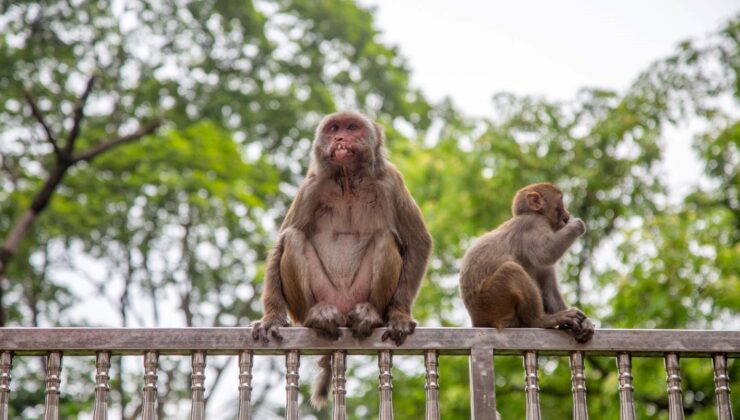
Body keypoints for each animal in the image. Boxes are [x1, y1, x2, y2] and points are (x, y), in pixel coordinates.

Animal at [253, 110, 434, 406]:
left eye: (351, 127)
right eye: (334, 128)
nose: (339, 139)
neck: (348, 180)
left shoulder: (391, 181)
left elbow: (418, 241)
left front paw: (399, 315)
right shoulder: (312, 186)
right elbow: (282, 241)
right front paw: (271, 319)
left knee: (384, 238)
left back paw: (369, 315)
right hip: (316, 301)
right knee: (293, 238)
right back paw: (318, 316)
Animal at [456, 182, 596, 342]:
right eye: (561, 202)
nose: (568, 214)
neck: (531, 214)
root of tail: (477, 320)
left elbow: (548, 285)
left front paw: (585, 323)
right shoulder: (534, 223)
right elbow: (545, 253)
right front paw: (576, 224)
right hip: (489, 303)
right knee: (511, 269)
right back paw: (540, 320)